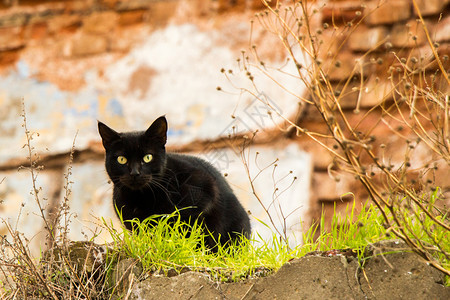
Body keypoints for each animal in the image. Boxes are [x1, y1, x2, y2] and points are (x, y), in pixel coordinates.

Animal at [97, 116, 250, 247]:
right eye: (121, 159)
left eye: (148, 157)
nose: (135, 173)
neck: (140, 198)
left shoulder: (205, 186)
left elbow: (179, 222)